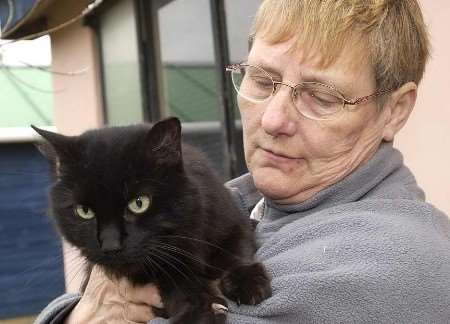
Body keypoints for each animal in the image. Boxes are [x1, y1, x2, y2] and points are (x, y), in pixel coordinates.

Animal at [32, 118, 270, 324]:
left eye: (139, 203)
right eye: (84, 211)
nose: (110, 244)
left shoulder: (230, 221)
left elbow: (237, 250)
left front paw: (247, 283)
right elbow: (180, 286)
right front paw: (201, 312)